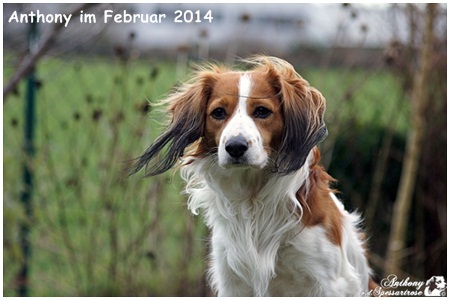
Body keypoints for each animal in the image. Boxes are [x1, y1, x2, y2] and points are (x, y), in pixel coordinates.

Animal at [133, 56, 376, 298]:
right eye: (218, 112)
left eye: (262, 111)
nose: (235, 147)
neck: (253, 199)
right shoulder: (232, 280)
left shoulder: (330, 282)